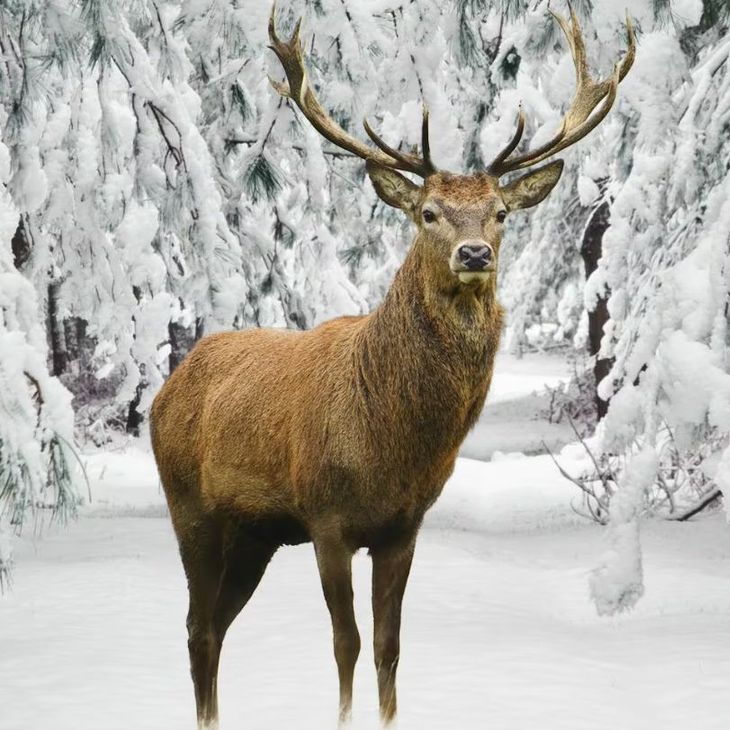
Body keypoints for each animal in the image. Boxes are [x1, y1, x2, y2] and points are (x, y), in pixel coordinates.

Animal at [150, 5, 634, 728]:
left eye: (499, 214)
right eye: (428, 212)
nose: (472, 253)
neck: (392, 443)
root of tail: (168, 385)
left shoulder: (404, 527)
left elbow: (389, 646)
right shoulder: (326, 518)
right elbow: (345, 644)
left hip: (255, 535)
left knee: (213, 626)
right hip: (191, 508)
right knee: (197, 627)